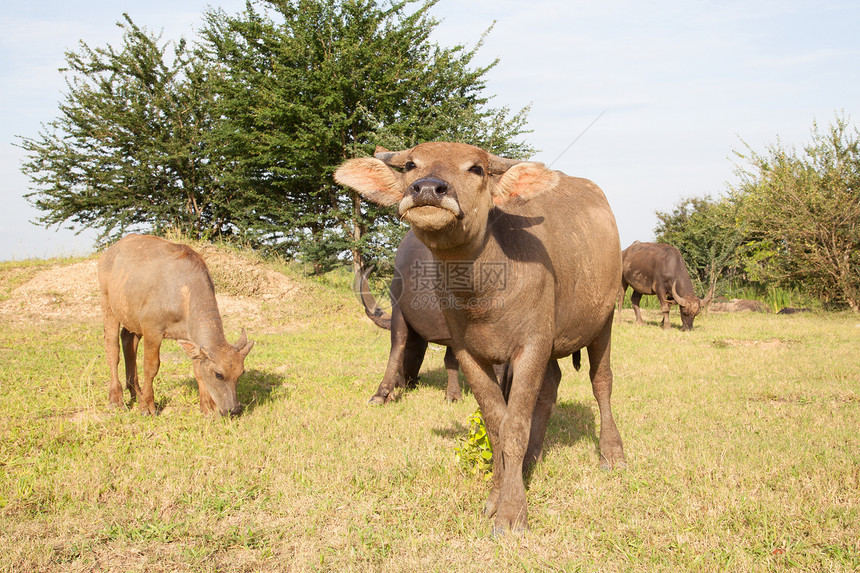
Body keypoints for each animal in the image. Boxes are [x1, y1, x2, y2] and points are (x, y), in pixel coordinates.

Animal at [97, 233, 254, 416]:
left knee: (128, 341)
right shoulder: (152, 330)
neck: (183, 294)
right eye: (219, 375)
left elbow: (197, 370)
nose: (234, 409)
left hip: (131, 315)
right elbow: (151, 367)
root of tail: (108, 252)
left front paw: (207, 406)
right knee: (112, 350)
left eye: (240, 374)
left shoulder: (190, 337)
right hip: (108, 305)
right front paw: (148, 406)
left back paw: (136, 391)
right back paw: (116, 399)